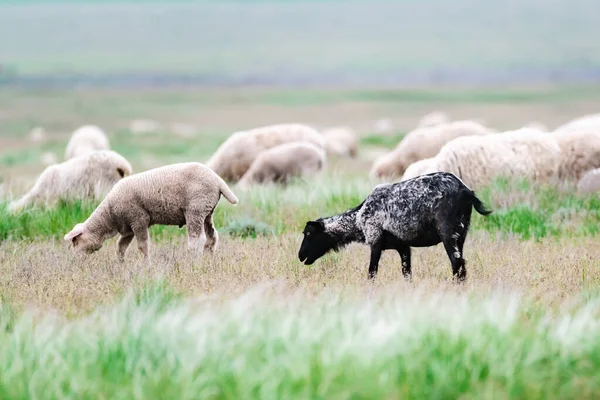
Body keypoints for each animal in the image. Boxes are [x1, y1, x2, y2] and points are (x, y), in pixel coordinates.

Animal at [62, 162, 237, 262]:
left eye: (75, 241)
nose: (74, 260)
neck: (109, 215)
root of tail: (218, 180)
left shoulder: (138, 219)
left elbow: (142, 246)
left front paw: (146, 264)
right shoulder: (128, 227)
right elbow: (120, 246)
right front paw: (121, 264)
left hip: (195, 209)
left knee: (197, 239)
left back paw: (192, 260)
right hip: (208, 212)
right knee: (212, 236)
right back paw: (208, 258)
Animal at [298, 172, 492, 282]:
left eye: (308, 233)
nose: (300, 256)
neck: (358, 218)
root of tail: (466, 192)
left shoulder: (375, 240)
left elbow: (372, 272)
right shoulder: (403, 247)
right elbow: (407, 273)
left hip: (448, 232)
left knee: (457, 263)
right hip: (462, 233)